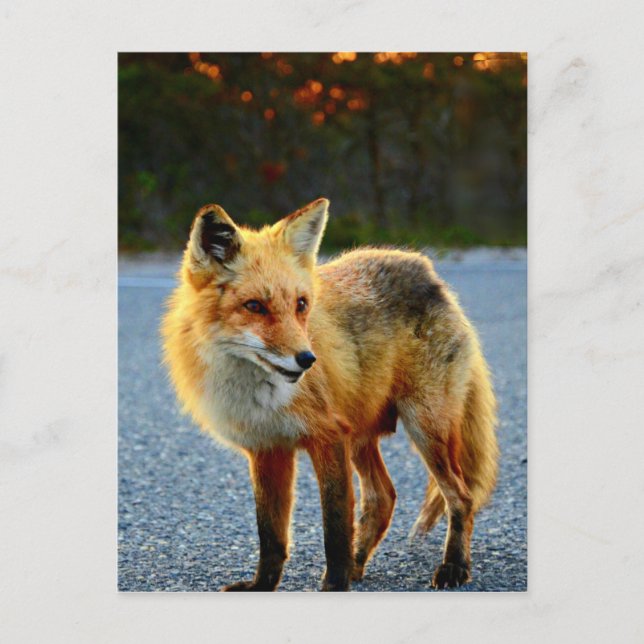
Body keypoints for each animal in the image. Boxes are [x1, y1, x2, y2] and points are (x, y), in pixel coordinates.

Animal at [161, 198, 498, 592]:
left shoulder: (328, 437)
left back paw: (453, 566)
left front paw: (335, 583)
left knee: (460, 497)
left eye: (301, 304)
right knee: (383, 498)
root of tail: (426, 270)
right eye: (254, 306)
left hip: (425, 428)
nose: (307, 360)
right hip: (362, 436)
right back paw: (359, 563)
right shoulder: (267, 449)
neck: (257, 394)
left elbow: (334, 528)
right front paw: (263, 586)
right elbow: (270, 534)